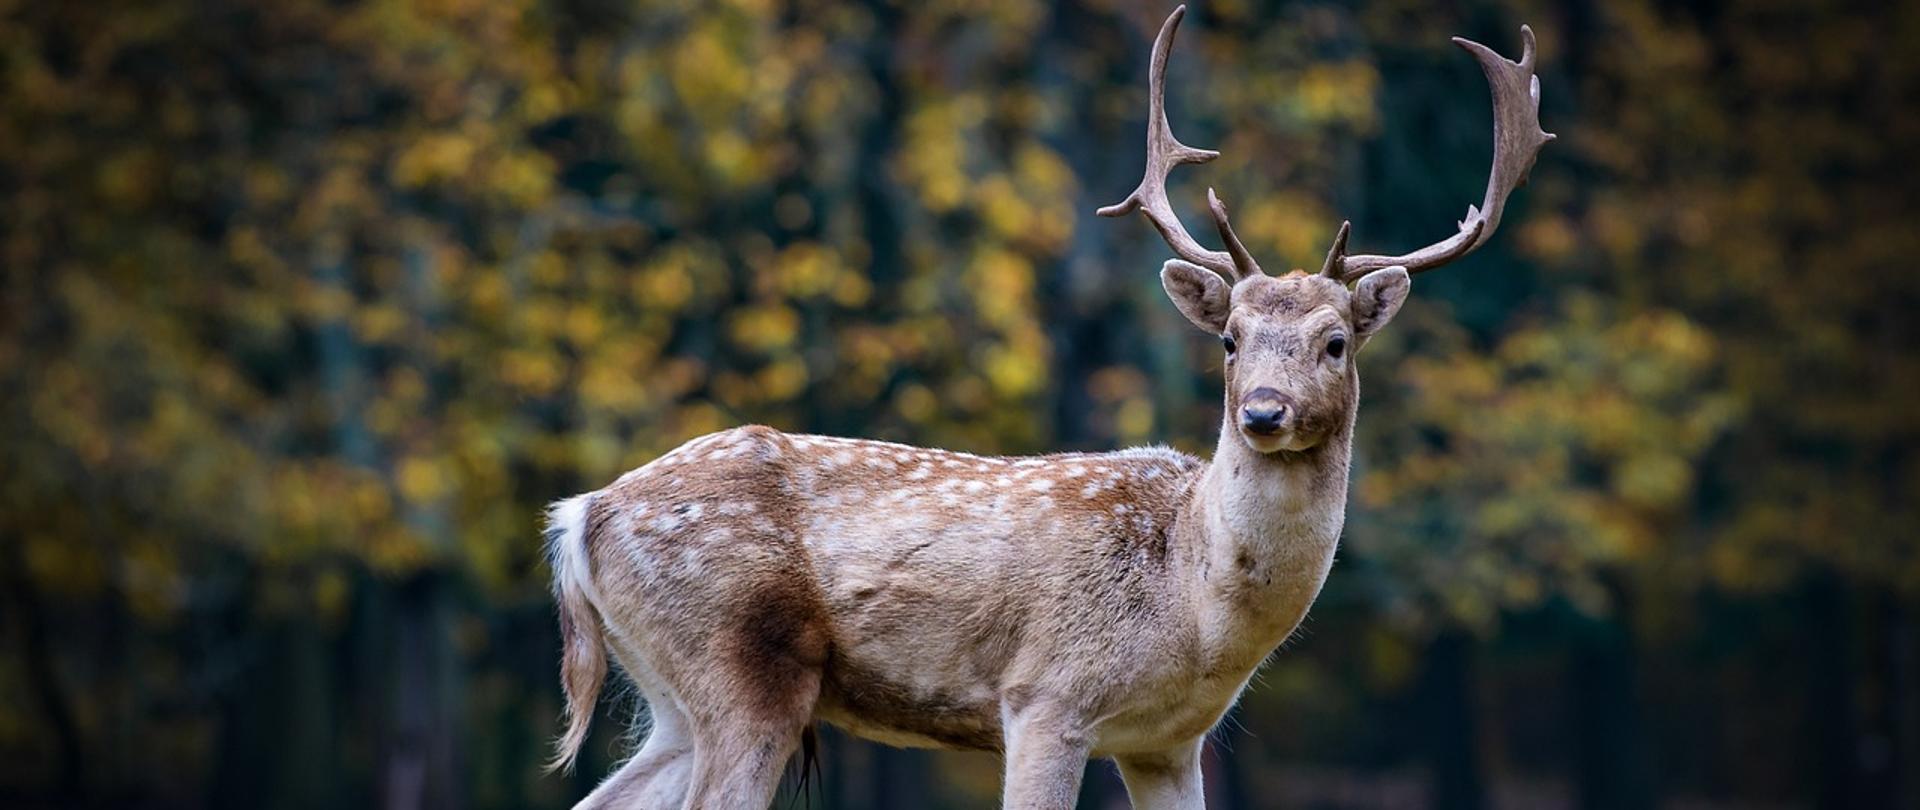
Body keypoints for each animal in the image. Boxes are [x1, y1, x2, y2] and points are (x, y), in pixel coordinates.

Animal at [537, 4, 1543, 802]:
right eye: (1229, 339)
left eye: (1336, 343)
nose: (1261, 412)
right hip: (743, 667)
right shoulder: (1044, 699)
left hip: (674, 696)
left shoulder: (1170, 743)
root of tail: (582, 514)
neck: (1193, 607)